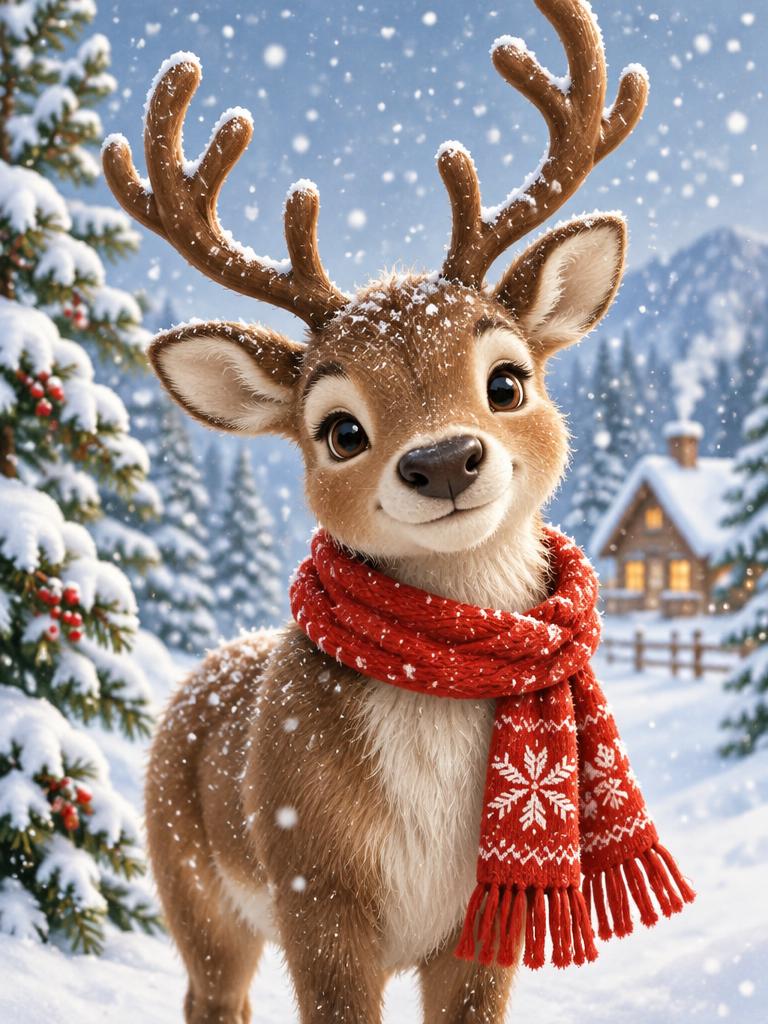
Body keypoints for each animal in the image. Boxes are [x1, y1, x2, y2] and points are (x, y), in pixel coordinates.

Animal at [103, 1, 648, 1021]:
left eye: (507, 380)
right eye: (340, 431)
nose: (441, 460)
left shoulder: (484, 920)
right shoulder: (317, 892)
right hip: (192, 882)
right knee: (211, 992)